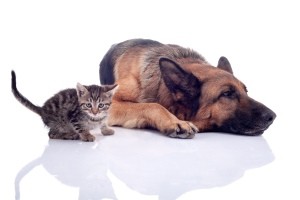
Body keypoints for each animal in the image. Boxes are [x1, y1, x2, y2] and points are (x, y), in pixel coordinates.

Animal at [99, 39, 276, 139]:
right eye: (227, 94)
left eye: (246, 91)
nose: (272, 117)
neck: (161, 85)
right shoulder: (111, 103)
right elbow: (153, 105)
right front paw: (175, 122)